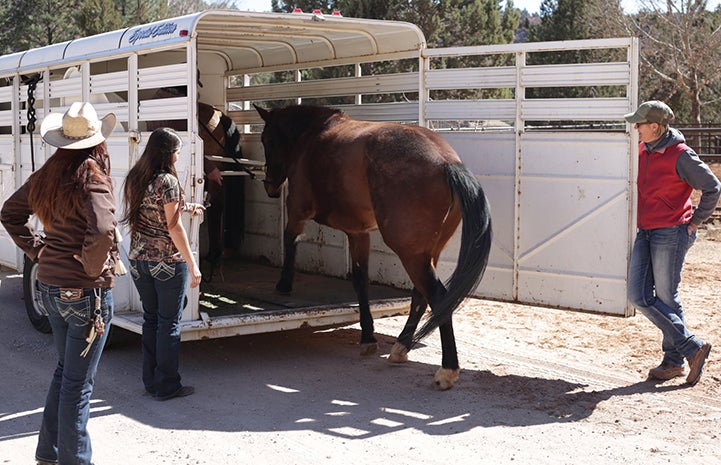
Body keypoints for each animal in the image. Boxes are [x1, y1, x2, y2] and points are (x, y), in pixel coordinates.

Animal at [252, 104, 490, 388]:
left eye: (267, 140)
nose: (270, 186)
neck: (312, 134)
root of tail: (447, 163)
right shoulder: (358, 233)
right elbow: (360, 281)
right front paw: (367, 336)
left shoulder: (298, 210)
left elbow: (291, 243)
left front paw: (284, 283)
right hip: (426, 254)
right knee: (421, 295)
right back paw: (401, 347)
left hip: (412, 255)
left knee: (438, 297)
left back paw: (447, 369)